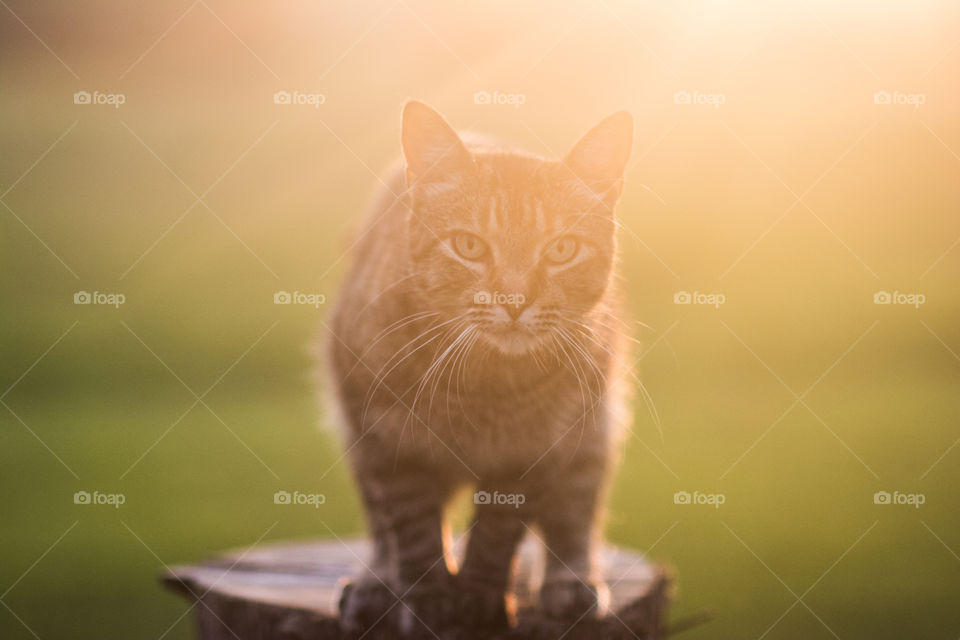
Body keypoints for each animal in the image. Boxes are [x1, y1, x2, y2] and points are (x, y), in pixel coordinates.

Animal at [326, 100, 632, 636]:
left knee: (576, 511)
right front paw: (428, 598)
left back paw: (570, 581)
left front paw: (481, 600)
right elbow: (412, 529)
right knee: (381, 527)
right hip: (357, 437)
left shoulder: (535, 449)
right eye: (468, 245)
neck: (484, 387)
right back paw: (374, 585)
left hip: (593, 425)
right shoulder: (384, 438)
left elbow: (496, 536)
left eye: (561, 249)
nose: (514, 300)